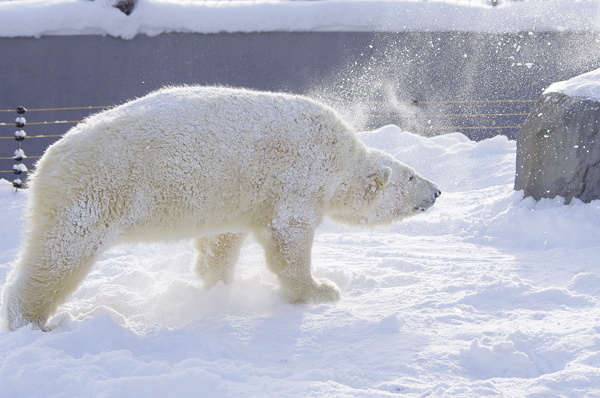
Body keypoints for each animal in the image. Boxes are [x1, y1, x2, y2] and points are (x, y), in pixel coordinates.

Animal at [1, 88, 440, 332]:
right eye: (411, 176)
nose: (437, 191)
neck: (341, 157)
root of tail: (46, 161)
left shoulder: (238, 197)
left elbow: (220, 242)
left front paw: (219, 290)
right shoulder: (299, 177)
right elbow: (290, 239)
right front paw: (321, 291)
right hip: (94, 193)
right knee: (61, 255)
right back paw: (30, 321)